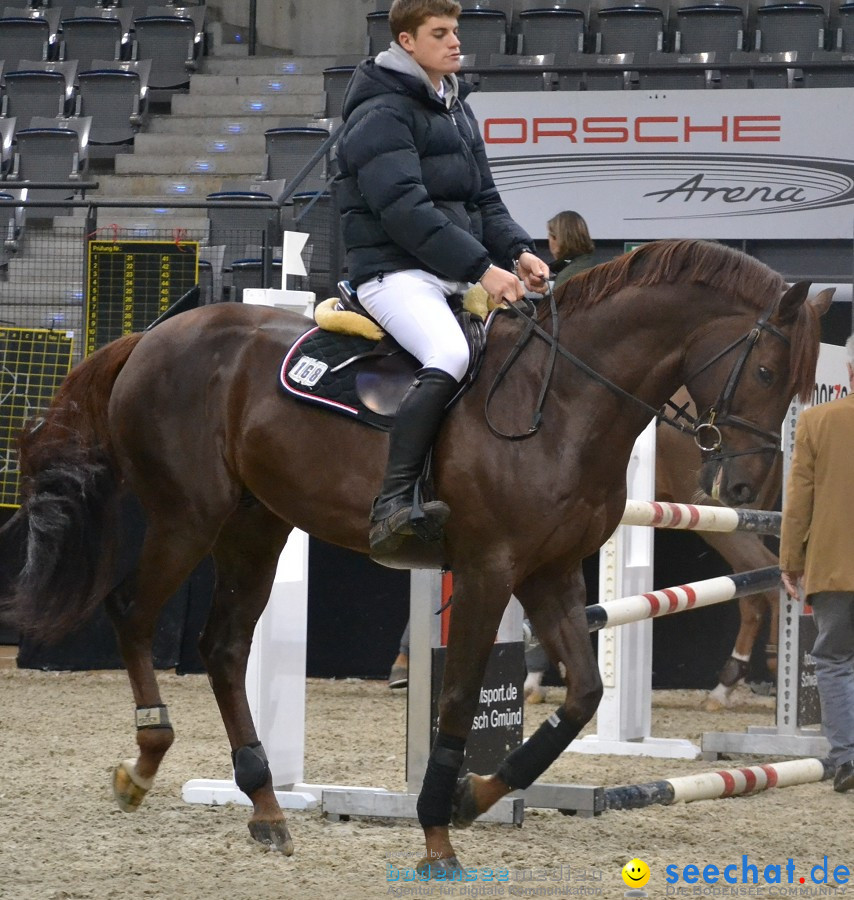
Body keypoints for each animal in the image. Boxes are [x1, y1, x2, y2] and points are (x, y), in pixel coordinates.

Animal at [0, 243, 828, 876]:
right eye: (764, 372)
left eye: (793, 384)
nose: (744, 488)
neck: (562, 401)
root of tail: (149, 337)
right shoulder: (492, 569)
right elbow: (459, 697)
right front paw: (435, 833)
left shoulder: (550, 571)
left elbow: (584, 697)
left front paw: (473, 798)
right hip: (187, 518)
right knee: (132, 615)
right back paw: (144, 761)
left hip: (256, 525)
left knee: (223, 648)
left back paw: (266, 806)